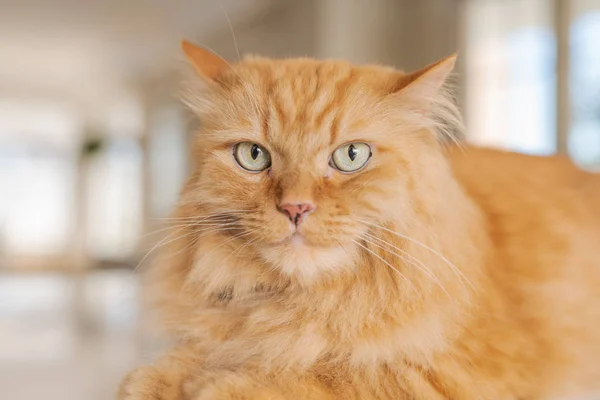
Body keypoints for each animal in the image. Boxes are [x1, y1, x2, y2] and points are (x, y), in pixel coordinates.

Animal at [119, 42, 600, 398]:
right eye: (253, 156)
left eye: (351, 156)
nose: (296, 208)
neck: (311, 302)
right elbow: (187, 356)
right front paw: (158, 379)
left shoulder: (456, 372)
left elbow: (335, 373)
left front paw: (217, 383)